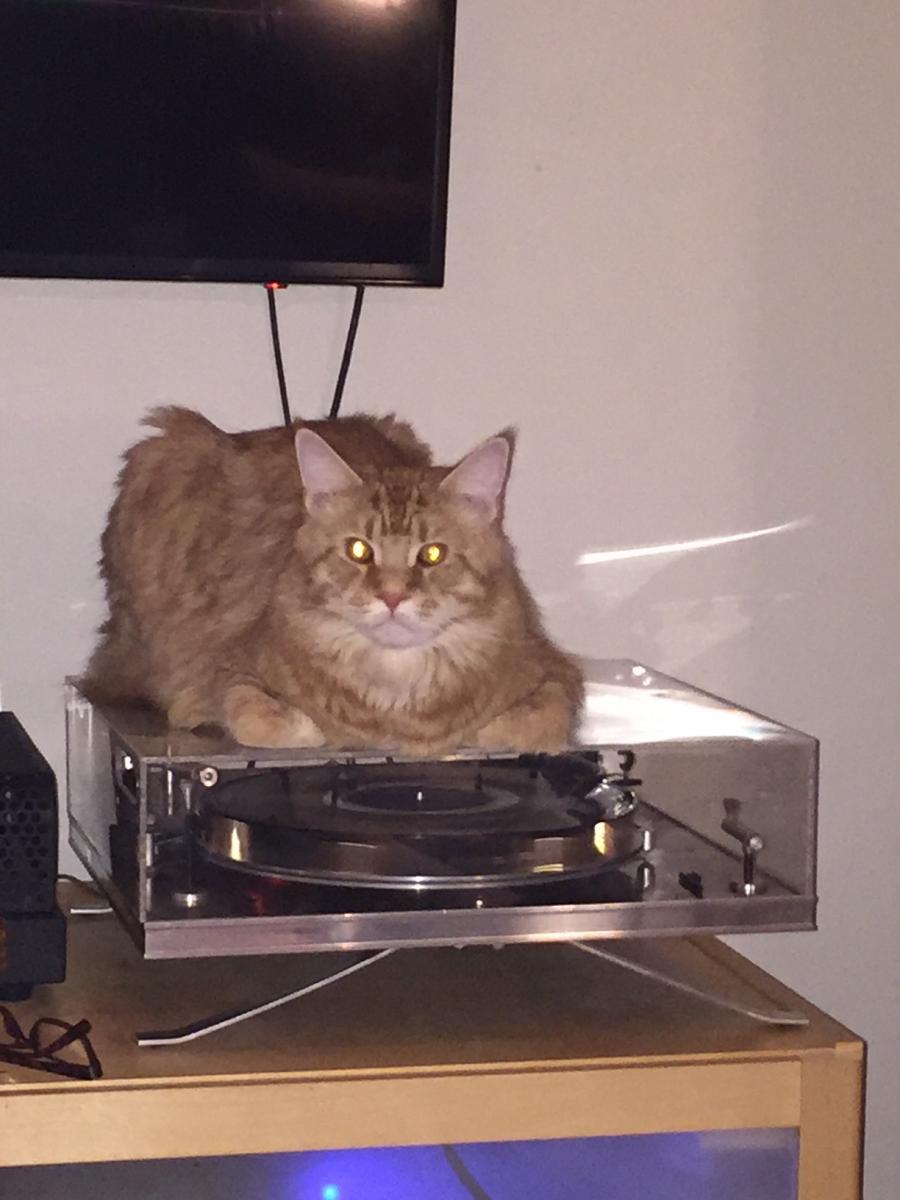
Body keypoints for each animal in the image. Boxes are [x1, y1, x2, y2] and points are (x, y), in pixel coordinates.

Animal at [84, 407, 583, 754]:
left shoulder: (555, 670)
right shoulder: (226, 669)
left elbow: (534, 718)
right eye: (358, 551)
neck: (395, 696)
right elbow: (259, 716)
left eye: (433, 554)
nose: (392, 596)